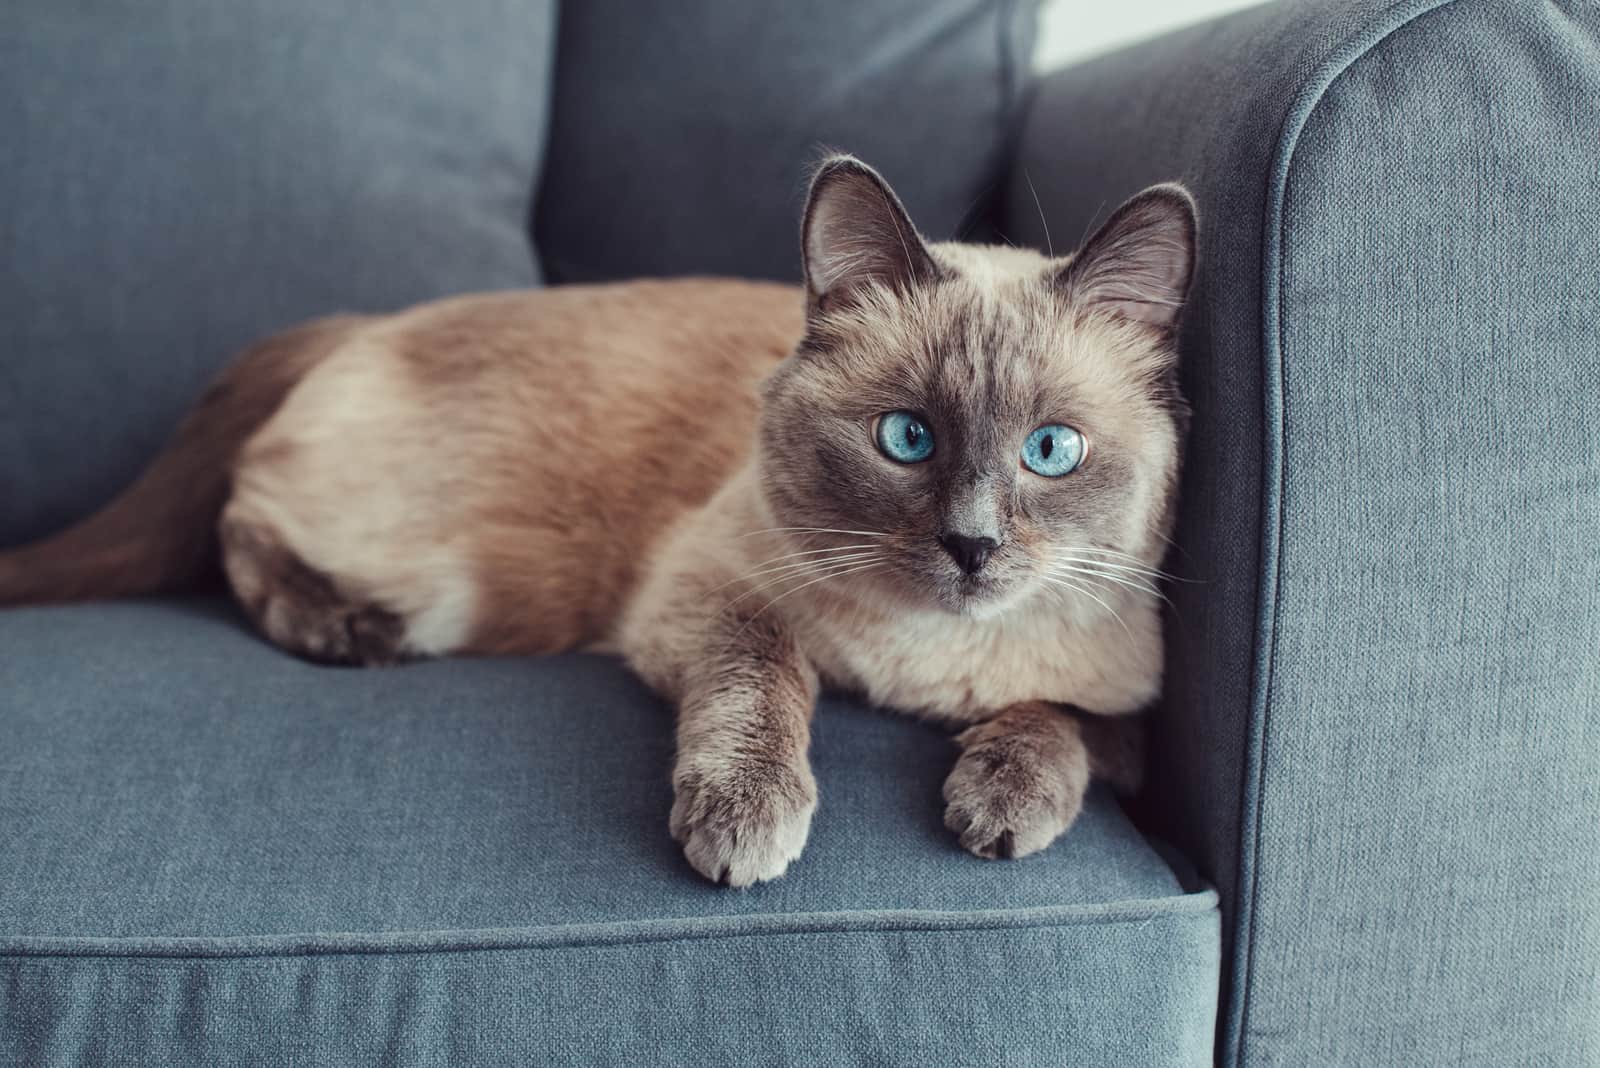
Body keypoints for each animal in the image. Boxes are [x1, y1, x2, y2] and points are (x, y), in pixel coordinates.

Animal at [0, 156, 1196, 882]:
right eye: (906, 438)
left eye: (1051, 452)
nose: (972, 545)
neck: (915, 675)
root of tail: (363, 319)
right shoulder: (702, 595)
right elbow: (763, 681)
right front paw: (744, 828)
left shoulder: (1135, 719)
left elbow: (1055, 719)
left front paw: (997, 809)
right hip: (472, 586)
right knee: (240, 522)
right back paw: (345, 632)